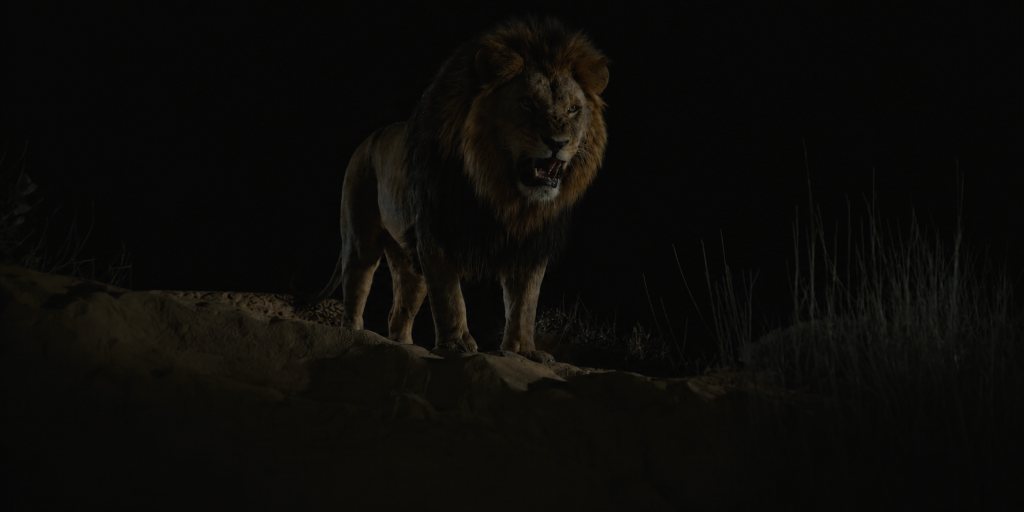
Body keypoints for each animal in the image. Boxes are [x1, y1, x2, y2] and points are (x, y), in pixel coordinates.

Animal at [303, 17, 609, 363]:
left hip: (407, 256)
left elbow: (525, 303)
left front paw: (524, 351)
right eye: (527, 102)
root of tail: (367, 140)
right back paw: (354, 338)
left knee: (399, 310)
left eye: (573, 109)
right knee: (357, 288)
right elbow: (449, 296)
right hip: (360, 235)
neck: (503, 195)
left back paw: (404, 347)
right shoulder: (436, 232)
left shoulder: (528, 245)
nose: (558, 143)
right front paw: (457, 345)